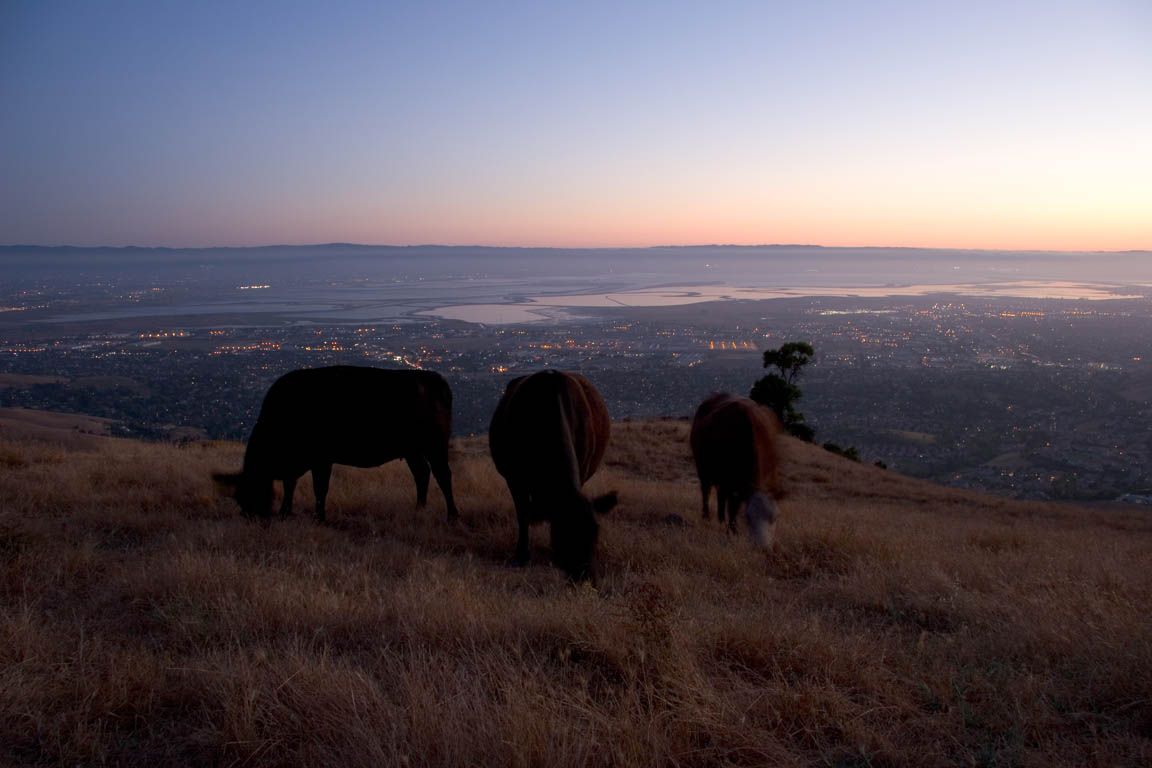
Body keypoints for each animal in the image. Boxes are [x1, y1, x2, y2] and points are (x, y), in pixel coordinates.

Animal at [214, 366, 456, 522]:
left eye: (251, 489)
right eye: (238, 496)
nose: (249, 516)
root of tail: (433, 379)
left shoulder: (321, 459)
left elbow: (320, 488)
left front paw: (319, 518)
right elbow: (290, 485)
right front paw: (285, 512)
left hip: (435, 445)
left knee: (442, 475)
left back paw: (452, 516)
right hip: (411, 450)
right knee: (421, 474)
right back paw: (419, 509)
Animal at [488, 368, 617, 580]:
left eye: (595, 533)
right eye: (563, 535)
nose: (586, 576)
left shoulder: (582, 470)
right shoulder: (515, 479)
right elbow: (523, 514)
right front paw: (521, 555)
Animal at [691, 393, 783, 550]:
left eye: (775, 518)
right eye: (748, 517)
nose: (762, 547)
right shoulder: (731, 482)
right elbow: (733, 507)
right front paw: (733, 531)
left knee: (720, 495)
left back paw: (721, 518)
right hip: (704, 470)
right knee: (706, 491)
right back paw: (707, 516)